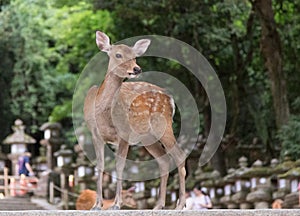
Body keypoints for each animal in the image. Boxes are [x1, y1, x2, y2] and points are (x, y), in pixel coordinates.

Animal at [84, 31, 185, 210]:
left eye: (135, 57)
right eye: (118, 55)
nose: (137, 68)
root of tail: (171, 99)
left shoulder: (124, 132)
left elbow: (119, 165)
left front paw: (116, 204)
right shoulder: (95, 134)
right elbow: (100, 166)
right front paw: (97, 205)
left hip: (162, 124)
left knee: (179, 156)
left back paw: (180, 205)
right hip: (147, 137)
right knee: (164, 160)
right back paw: (159, 206)